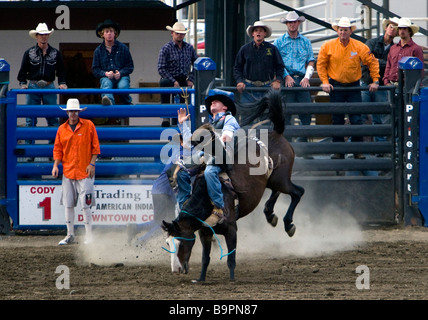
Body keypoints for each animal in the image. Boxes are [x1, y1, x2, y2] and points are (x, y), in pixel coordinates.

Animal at [161, 89, 304, 282]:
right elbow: (205, 258)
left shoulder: (231, 230)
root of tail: (276, 132)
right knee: (276, 192)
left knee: (297, 192)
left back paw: (288, 225)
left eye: (181, 241)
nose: (176, 270)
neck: (206, 198)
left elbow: (231, 257)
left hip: (282, 179)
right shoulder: (205, 232)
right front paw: (201, 279)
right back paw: (270, 214)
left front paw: (231, 279)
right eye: (168, 242)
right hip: (273, 180)